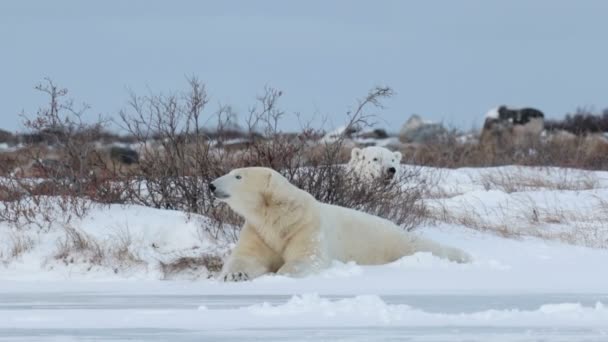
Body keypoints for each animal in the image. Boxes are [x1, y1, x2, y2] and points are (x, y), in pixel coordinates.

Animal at [209, 166, 470, 280]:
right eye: (232, 171)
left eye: (238, 176)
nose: (211, 185)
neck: (275, 215)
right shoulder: (258, 231)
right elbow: (246, 256)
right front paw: (236, 275)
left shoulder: (305, 225)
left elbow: (308, 257)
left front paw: (280, 274)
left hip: (392, 242)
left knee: (421, 246)